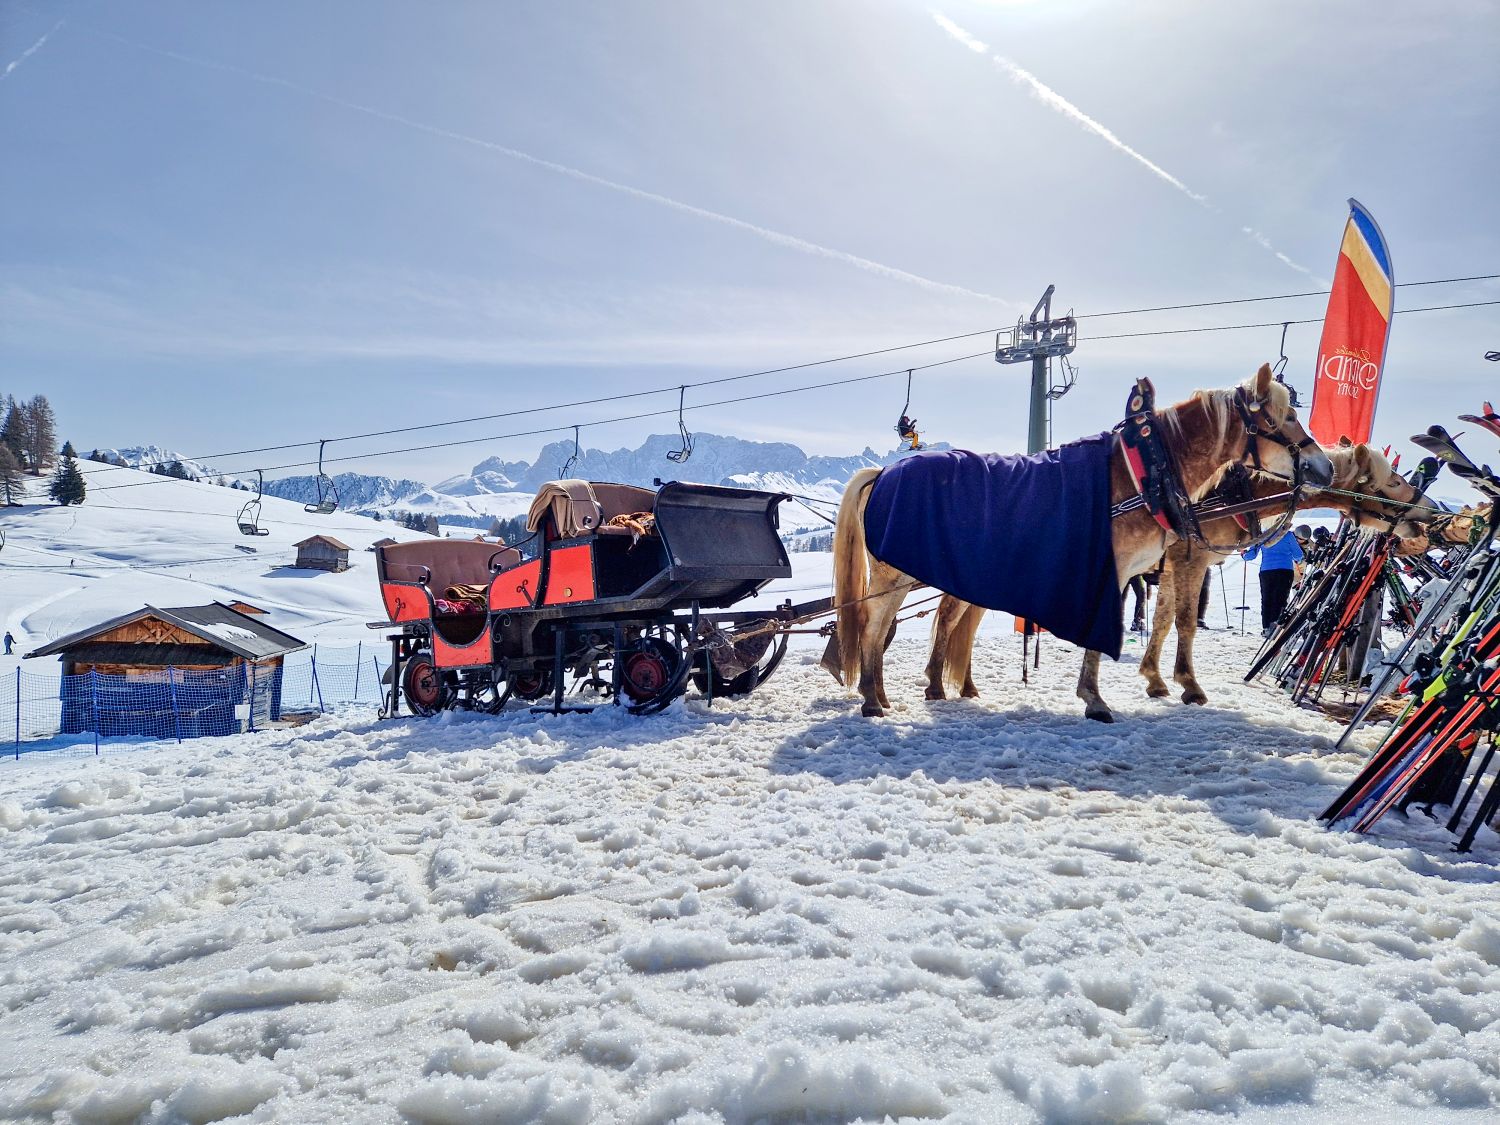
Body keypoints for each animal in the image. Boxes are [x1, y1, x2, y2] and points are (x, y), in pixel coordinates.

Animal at [831, 363, 1332, 720]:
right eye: (1285, 416)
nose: (1323, 466)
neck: (1145, 473)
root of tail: (884, 471)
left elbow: (1160, 623)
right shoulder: (1129, 569)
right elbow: (1128, 629)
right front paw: (1098, 698)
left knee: (909, 624)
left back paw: (891, 693)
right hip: (894, 574)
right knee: (874, 625)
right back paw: (873, 697)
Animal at [1138, 441, 1432, 706]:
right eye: (1394, 483)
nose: (1430, 506)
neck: (1225, 497)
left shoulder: (1171, 568)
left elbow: (1162, 621)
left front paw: (1154, 679)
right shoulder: (1191, 561)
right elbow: (1185, 622)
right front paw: (1190, 686)